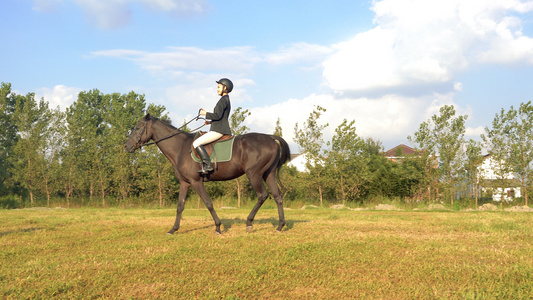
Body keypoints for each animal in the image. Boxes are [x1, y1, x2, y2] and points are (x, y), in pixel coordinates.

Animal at [123, 114, 290, 234]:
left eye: (138, 127)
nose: (127, 146)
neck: (180, 148)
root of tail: (271, 138)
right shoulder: (185, 183)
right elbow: (180, 206)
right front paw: (173, 229)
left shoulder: (196, 182)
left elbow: (208, 203)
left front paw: (218, 227)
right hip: (268, 174)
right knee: (278, 196)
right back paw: (280, 226)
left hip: (254, 174)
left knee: (262, 195)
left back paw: (249, 223)